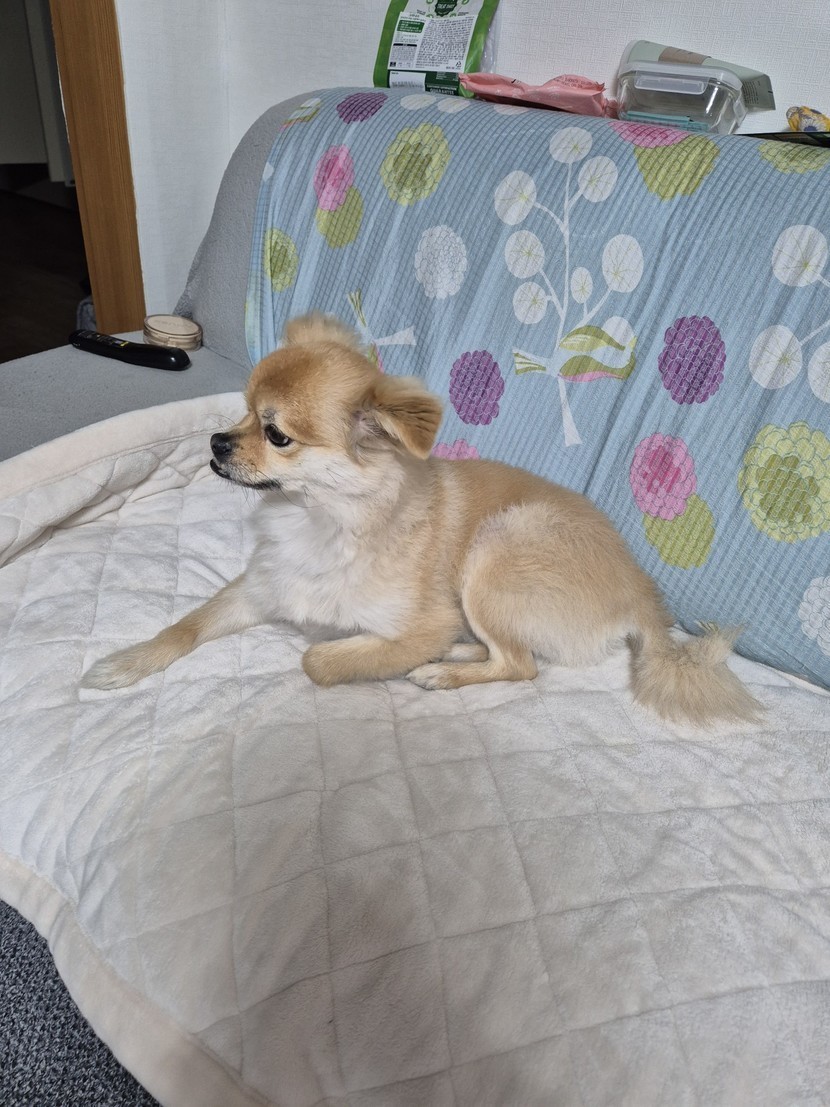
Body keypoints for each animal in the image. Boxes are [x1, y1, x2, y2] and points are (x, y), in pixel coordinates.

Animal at [83, 313, 761, 726]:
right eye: (242, 412)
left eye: (276, 435)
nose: (217, 443)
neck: (321, 518)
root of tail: (646, 598)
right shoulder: (259, 589)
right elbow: (185, 627)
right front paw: (125, 663)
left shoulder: (414, 622)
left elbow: (320, 658)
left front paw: (361, 653)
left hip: (494, 555)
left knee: (521, 665)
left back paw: (442, 670)